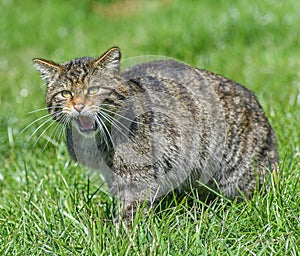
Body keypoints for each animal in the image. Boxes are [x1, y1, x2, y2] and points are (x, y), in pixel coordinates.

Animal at [33, 47, 278, 223]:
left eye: (93, 90)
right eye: (66, 93)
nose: (79, 106)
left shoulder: (138, 177)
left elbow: (130, 212)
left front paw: (122, 239)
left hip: (238, 177)